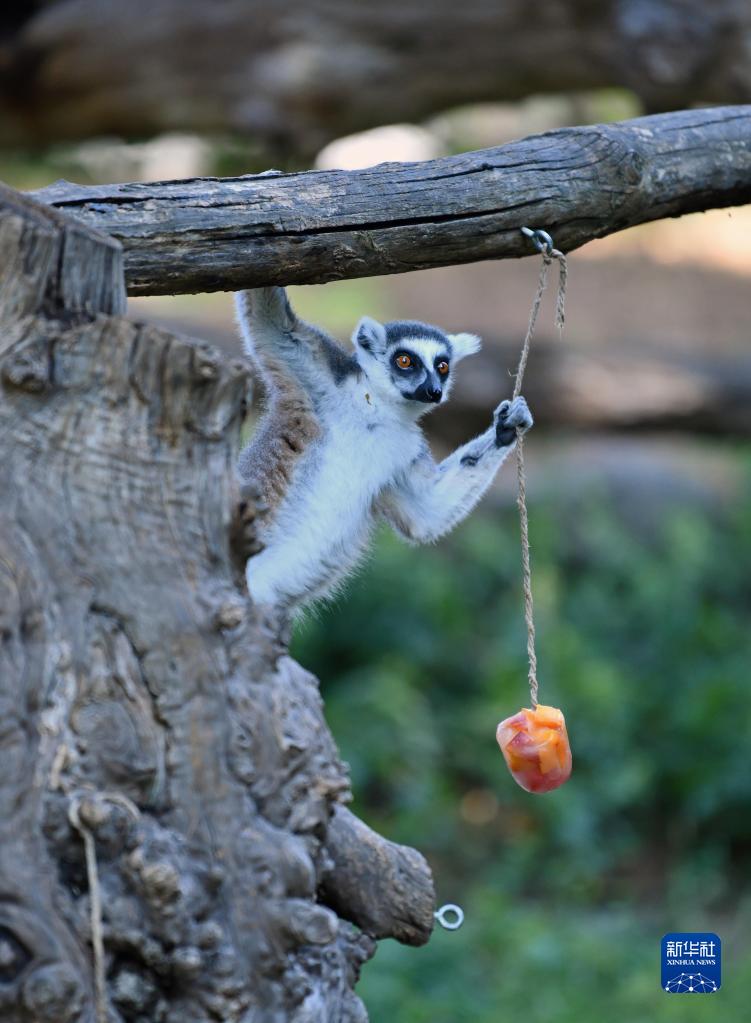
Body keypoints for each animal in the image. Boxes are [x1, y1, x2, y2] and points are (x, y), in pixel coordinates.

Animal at [236, 286, 532, 612]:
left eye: (442, 366)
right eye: (405, 361)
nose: (434, 391)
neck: (380, 408)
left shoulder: (404, 448)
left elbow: (426, 511)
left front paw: (506, 426)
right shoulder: (324, 377)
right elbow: (272, 322)